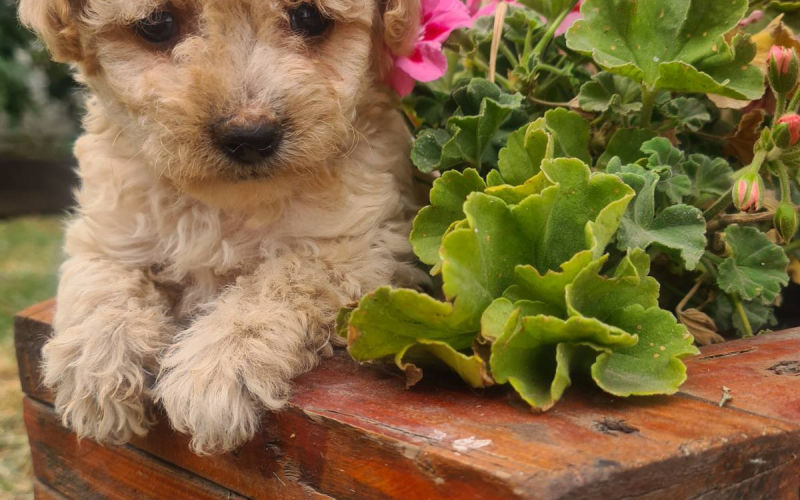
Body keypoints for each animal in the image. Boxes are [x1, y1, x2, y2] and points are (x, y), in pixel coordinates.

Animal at [18, 0, 424, 456]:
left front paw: (216, 370)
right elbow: (100, 285)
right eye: (157, 24)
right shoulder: (110, 228)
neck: (223, 203)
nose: (250, 135)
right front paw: (97, 367)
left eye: (309, 17)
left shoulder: (360, 246)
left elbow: (279, 282)